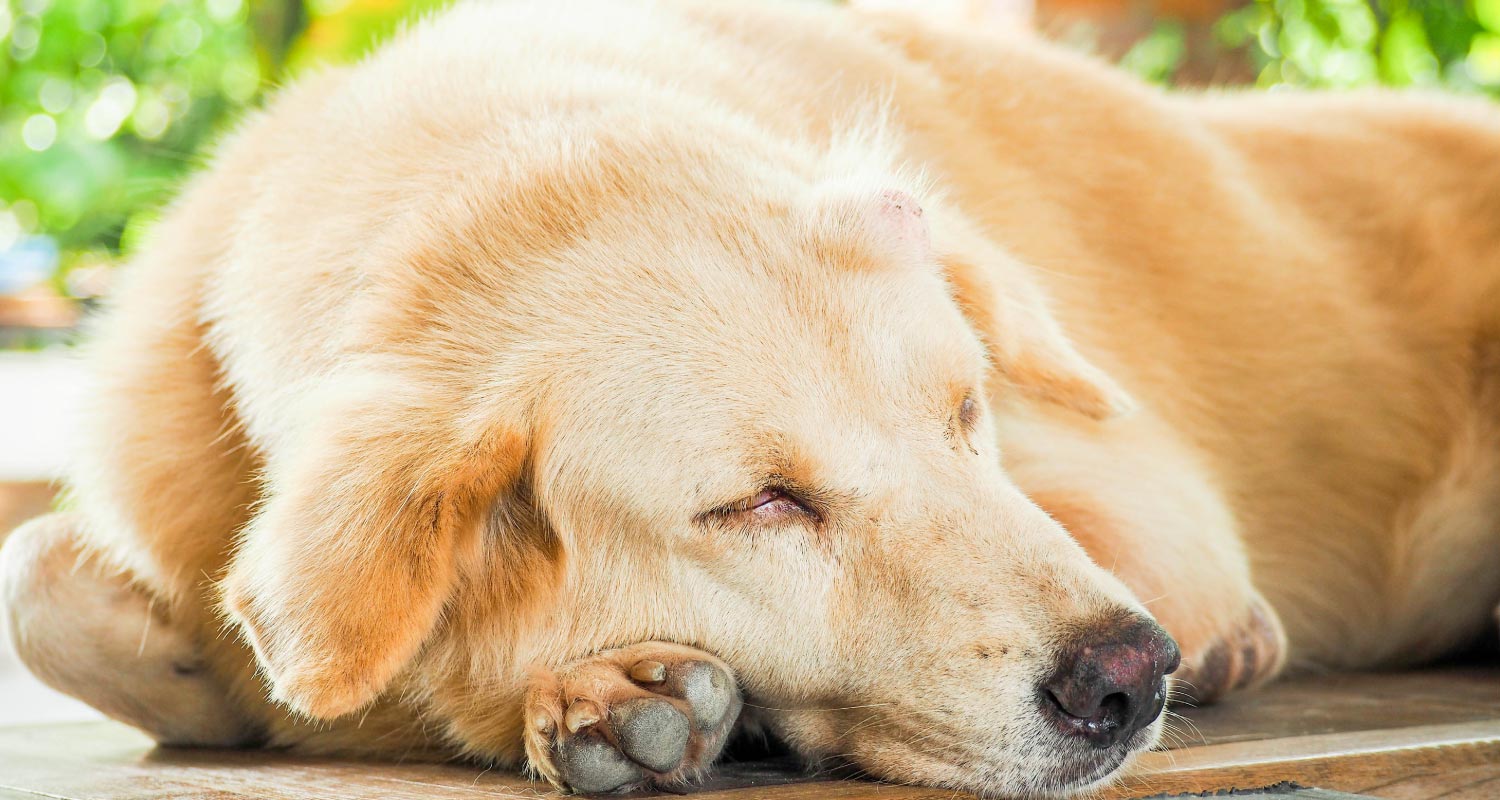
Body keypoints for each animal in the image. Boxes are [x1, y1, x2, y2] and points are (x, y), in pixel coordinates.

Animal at [2, 1, 1500, 792]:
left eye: (965, 415)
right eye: (760, 504)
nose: (1132, 679)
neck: (514, 165)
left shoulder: (1155, 513)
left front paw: (596, 694)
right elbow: (42, 578)